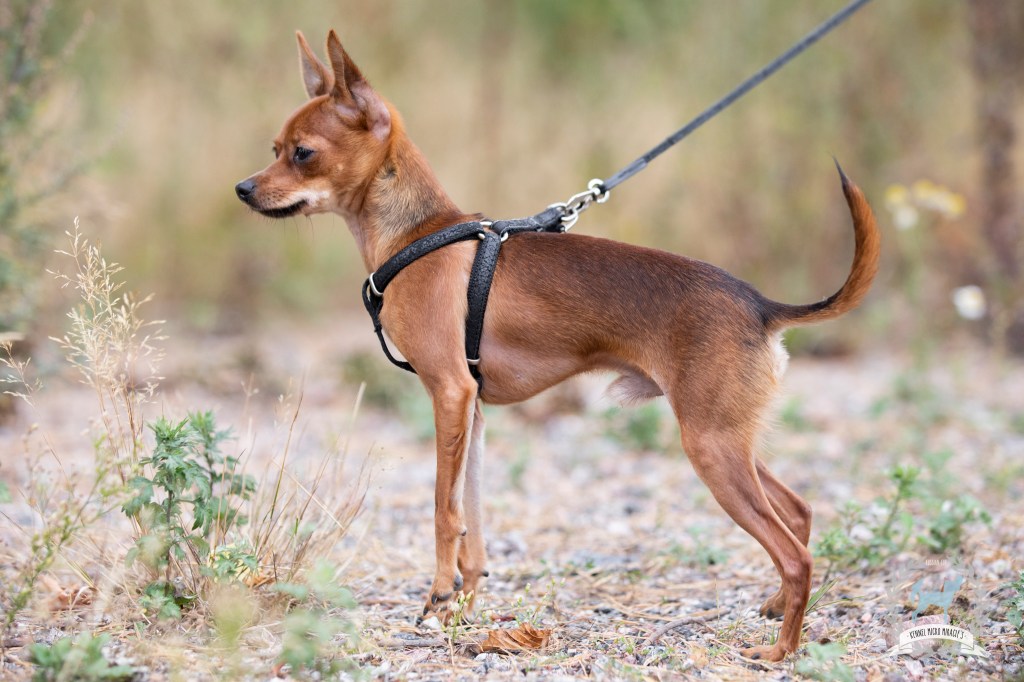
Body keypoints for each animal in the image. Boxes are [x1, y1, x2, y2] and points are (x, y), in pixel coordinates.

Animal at [236, 30, 880, 662]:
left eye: (303, 153)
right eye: (274, 147)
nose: (243, 189)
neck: (416, 234)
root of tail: (763, 306)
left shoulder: (448, 393)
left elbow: (444, 512)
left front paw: (438, 599)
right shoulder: (471, 410)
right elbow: (473, 525)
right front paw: (465, 607)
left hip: (711, 447)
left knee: (795, 552)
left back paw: (781, 651)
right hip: (728, 438)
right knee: (798, 512)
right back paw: (775, 608)